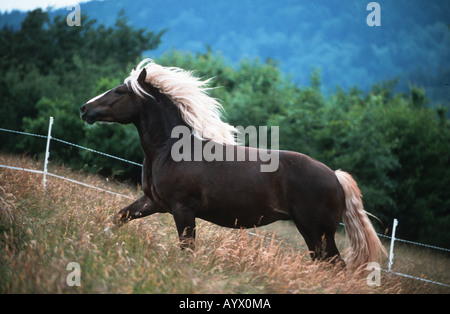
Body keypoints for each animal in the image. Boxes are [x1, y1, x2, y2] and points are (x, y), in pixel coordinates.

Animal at [79, 58, 384, 268]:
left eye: (120, 92)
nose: (84, 109)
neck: (170, 150)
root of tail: (335, 176)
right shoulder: (154, 202)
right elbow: (119, 217)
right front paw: (93, 240)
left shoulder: (182, 209)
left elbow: (187, 249)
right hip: (315, 234)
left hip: (316, 231)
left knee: (335, 266)